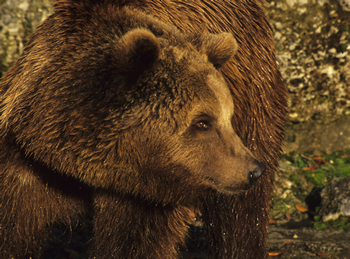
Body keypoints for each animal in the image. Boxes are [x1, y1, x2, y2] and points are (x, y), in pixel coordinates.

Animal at [0, 0, 284, 259]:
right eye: (202, 122)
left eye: (226, 117)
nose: (253, 170)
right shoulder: (27, 165)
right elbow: (13, 230)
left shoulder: (148, 190)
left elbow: (136, 242)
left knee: (241, 217)